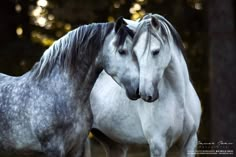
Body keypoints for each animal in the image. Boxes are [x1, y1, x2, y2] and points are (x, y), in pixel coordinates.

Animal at [90, 13, 201, 157]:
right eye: (135, 53)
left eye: (156, 51)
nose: (145, 94)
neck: (179, 98)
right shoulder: (158, 145)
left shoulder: (189, 143)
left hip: (115, 145)